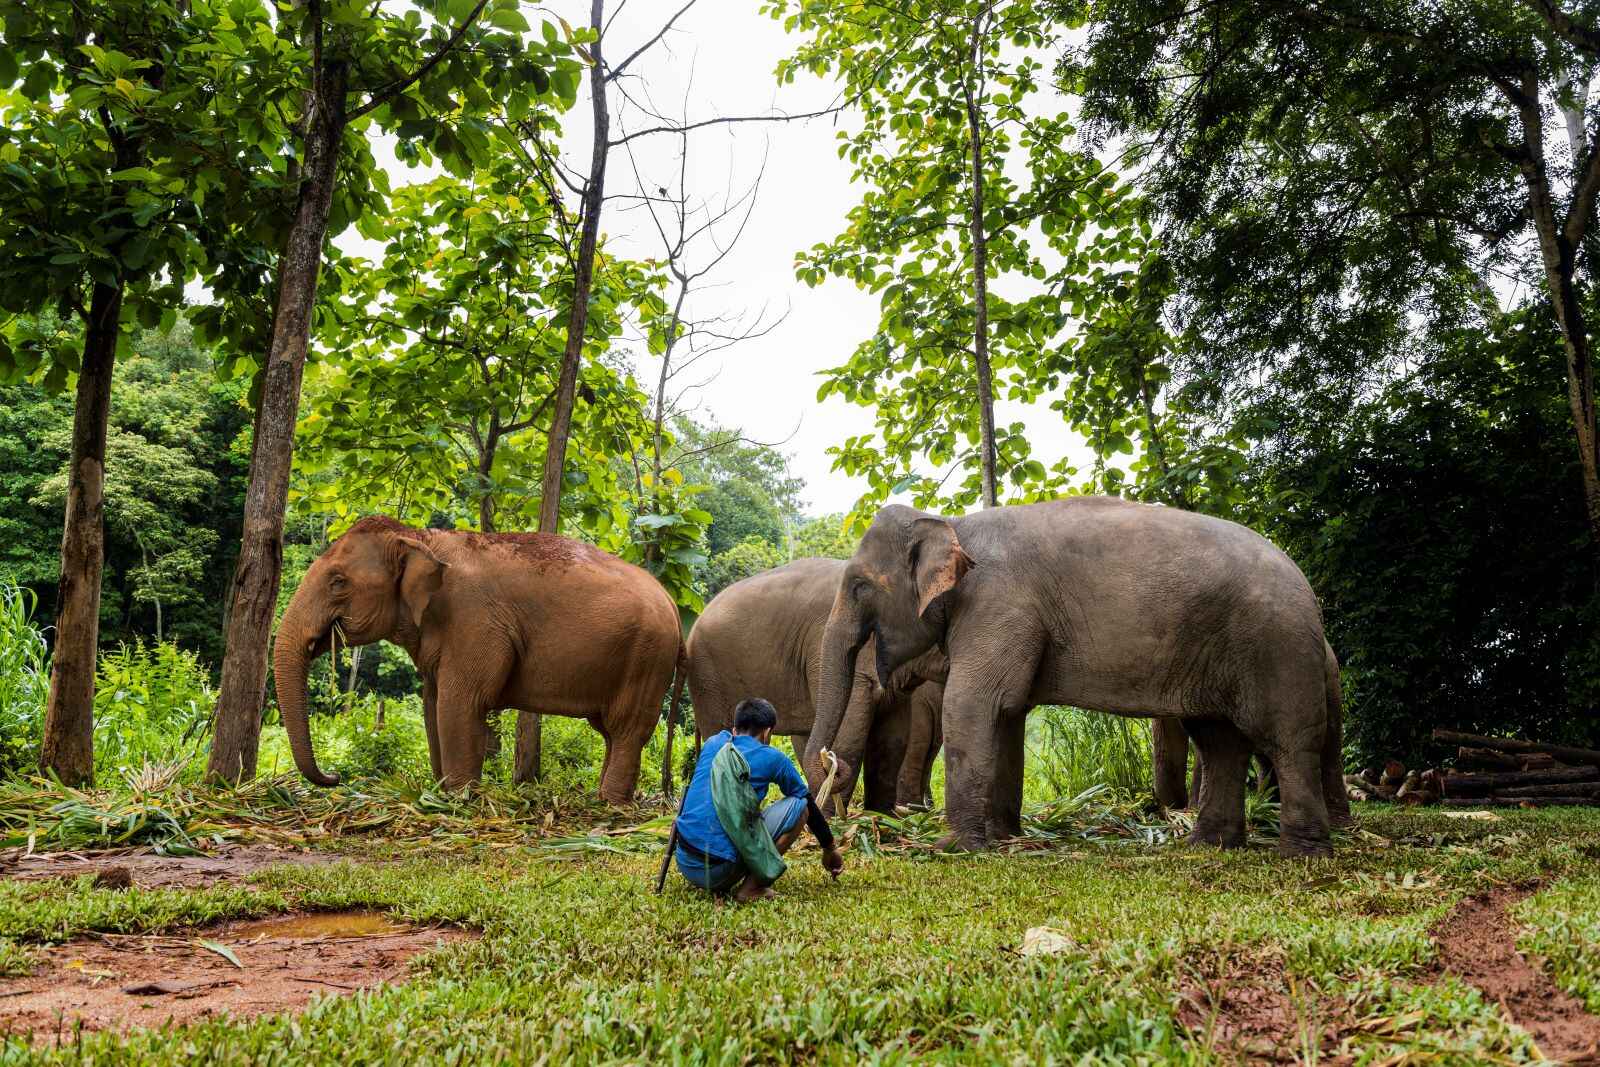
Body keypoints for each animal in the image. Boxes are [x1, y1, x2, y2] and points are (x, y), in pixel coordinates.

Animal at [270, 515, 681, 799]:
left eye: (338, 581)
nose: (335, 777)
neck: (420, 537)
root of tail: (673, 603)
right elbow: (432, 705)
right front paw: (438, 794)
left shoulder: (475, 620)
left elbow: (460, 704)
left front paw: (458, 800)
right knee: (609, 732)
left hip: (648, 658)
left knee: (626, 730)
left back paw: (609, 806)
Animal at [806, 502, 1344, 857]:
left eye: (859, 587)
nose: (833, 763)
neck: (952, 523)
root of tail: (1304, 582)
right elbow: (1008, 713)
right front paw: (1003, 839)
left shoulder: (998, 605)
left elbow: (973, 705)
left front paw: (951, 847)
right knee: (1219, 742)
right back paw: (1208, 844)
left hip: (1277, 648)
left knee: (1288, 741)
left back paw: (1300, 854)